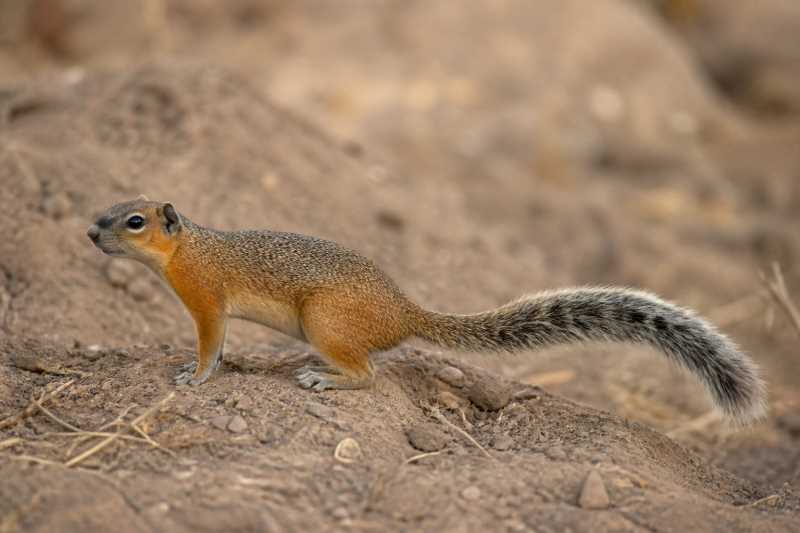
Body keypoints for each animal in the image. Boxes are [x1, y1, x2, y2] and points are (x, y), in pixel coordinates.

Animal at [87, 196, 766, 425]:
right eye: (111, 207)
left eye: (134, 221)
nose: (91, 233)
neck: (188, 248)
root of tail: (406, 313)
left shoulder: (206, 302)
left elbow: (210, 345)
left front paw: (194, 376)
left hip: (323, 322)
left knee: (369, 374)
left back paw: (324, 378)